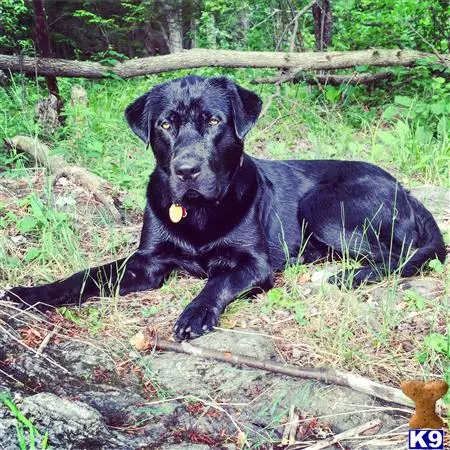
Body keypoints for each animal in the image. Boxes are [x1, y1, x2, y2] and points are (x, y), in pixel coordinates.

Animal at [2, 75, 446, 340]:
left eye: (214, 121)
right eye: (165, 124)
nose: (186, 170)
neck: (200, 212)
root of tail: (403, 188)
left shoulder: (253, 263)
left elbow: (217, 282)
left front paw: (195, 313)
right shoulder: (147, 262)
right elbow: (87, 275)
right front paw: (31, 292)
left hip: (321, 206)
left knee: (399, 255)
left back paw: (347, 275)